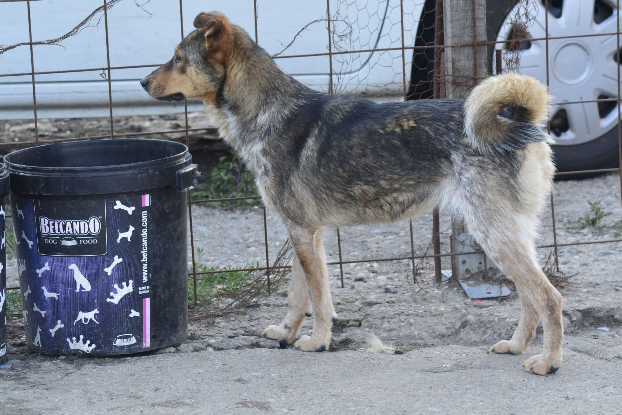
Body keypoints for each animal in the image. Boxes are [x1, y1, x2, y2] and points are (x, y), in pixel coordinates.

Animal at [141, 12, 562, 375]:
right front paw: (288, 333)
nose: (143, 83)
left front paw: (318, 340)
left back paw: (547, 361)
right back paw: (517, 345)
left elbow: (318, 298)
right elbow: (298, 295)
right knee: (530, 296)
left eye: (178, 59)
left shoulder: (303, 233)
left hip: (493, 233)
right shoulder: (305, 234)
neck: (269, 112)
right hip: (510, 235)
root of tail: (520, 123)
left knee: (548, 297)